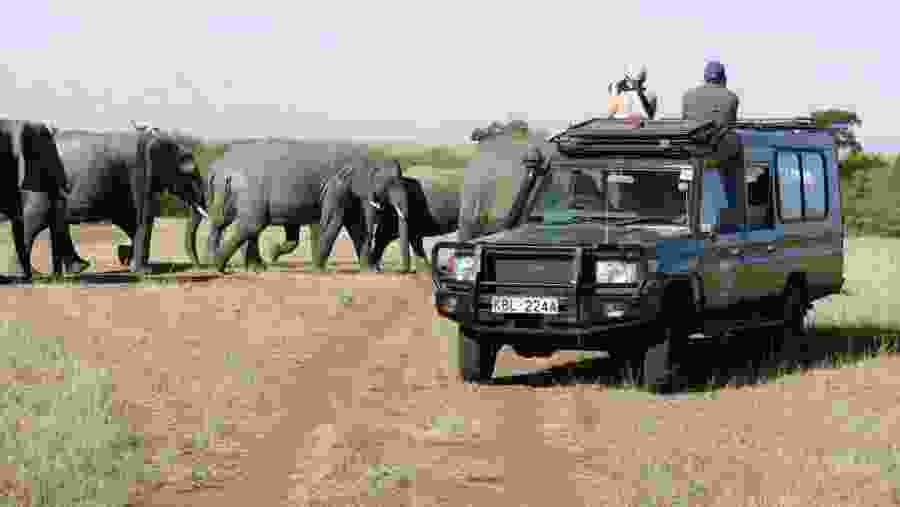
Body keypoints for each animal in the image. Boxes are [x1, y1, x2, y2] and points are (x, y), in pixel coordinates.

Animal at [20, 123, 208, 275]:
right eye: (189, 174)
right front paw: (143, 271)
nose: (200, 266)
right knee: (35, 220)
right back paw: (36, 275)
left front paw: (128, 259)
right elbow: (144, 217)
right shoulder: (140, 170)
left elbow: (129, 220)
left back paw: (76, 269)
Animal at [186, 140, 399, 273]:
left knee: (234, 223)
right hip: (244, 191)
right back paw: (220, 265)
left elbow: (354, 224)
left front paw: (369, 271)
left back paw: (250, 267)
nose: (378, 267)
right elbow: (334, 222)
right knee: (249, 224)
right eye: (388, 183)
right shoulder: (336, 186)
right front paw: (318, 269)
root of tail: (217, 167)